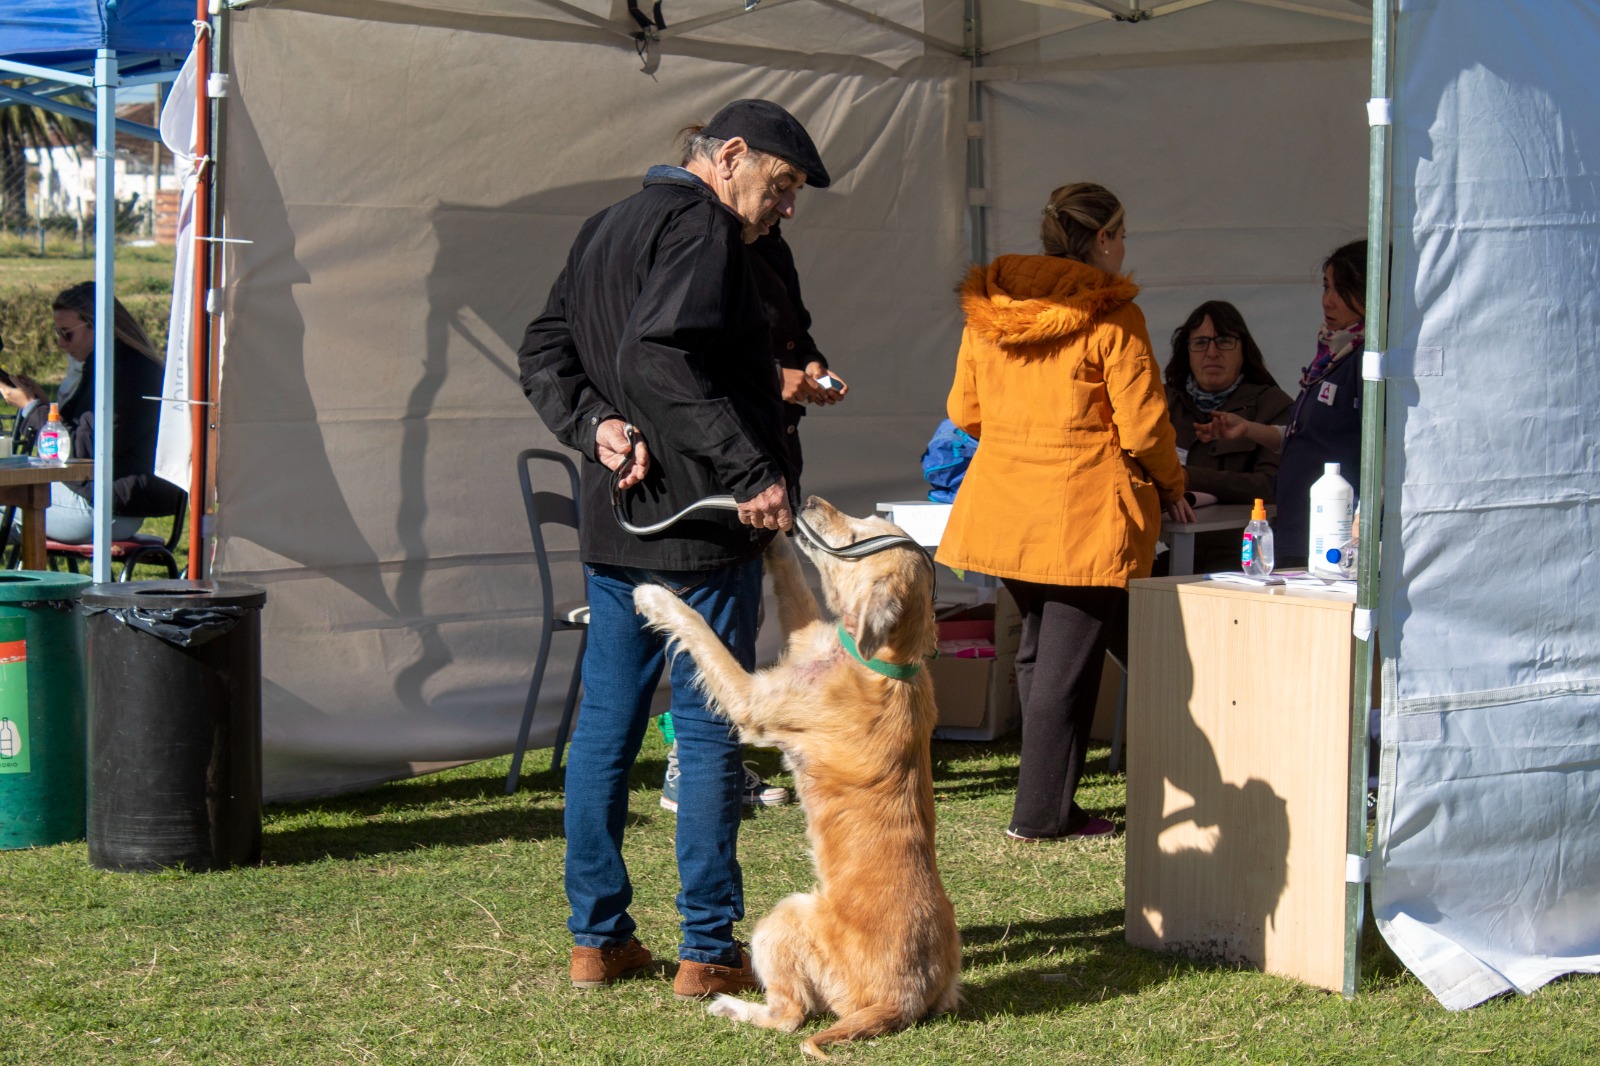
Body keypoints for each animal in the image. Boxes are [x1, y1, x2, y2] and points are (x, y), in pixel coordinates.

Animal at [633, 496, 960, 1056]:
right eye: (868, 524)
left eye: (857, 537)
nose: (805, 500)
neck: (884, 661)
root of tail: (901, 1002)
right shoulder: (805, 633)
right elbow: (791, 579)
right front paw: (770, 531)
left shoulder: (751, 700)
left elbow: (700, 630)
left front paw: (655, 597)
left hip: (785, 915)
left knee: (789, 1016)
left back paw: (732, 1006)